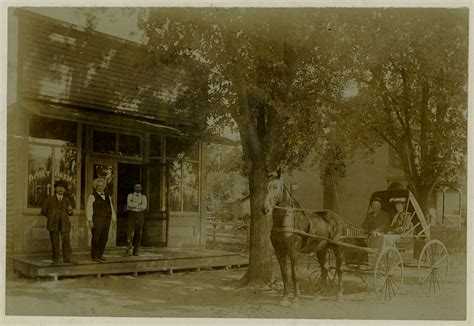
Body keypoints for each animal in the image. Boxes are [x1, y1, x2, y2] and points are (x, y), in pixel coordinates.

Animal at [262, 171, 344, 306]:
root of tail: (337, 218)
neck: (286, 222)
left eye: (276, 187)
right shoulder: (279, 253)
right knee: (325, 268)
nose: (265, 209)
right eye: (265, 187)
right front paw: (284, 298)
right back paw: (318, 294)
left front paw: (296, 299)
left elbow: (295, 275)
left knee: (339, 269)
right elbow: (284, 274)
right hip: (321, 249)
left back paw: (339, 294)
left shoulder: (294, 253)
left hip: (338, 248)